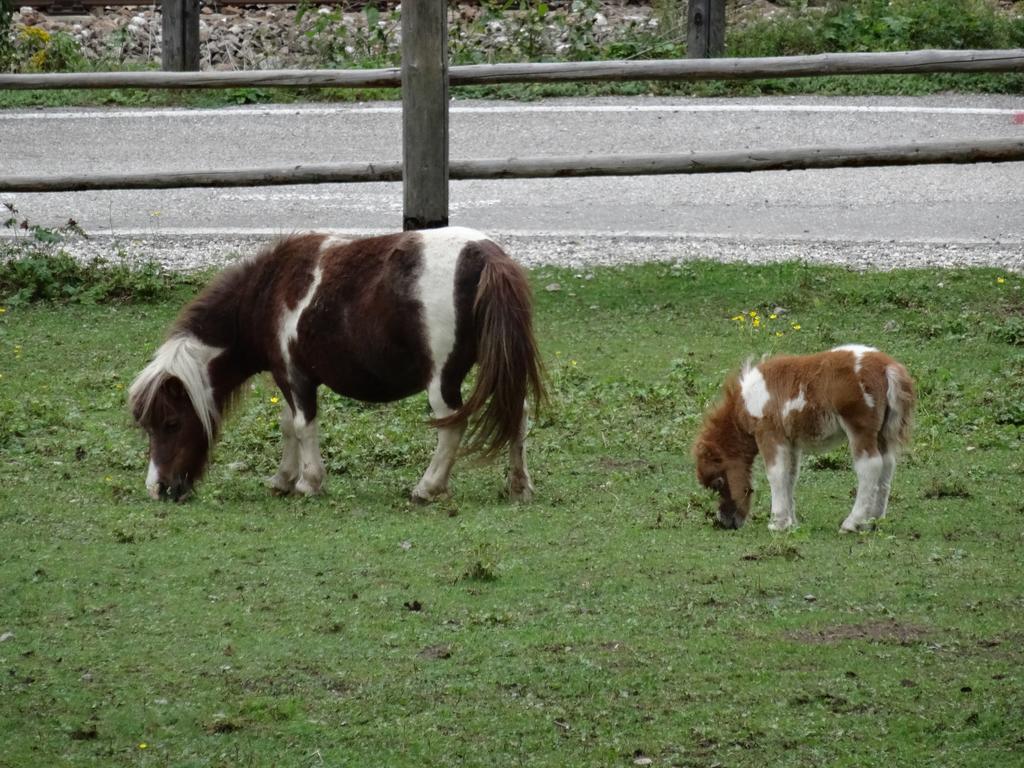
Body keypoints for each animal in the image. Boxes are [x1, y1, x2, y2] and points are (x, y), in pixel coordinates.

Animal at [129, 228, 548, 505]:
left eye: (171, 423)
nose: (157, 489)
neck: (268, 294)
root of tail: (485, 255)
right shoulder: (288, 378)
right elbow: (288, 426)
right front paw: (282, 479)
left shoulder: (295, 377)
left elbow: (302, 426)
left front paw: (309, 482)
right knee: (518, 414)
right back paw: (519, 486)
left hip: (442, 380)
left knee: (452, 425)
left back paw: (427, 488)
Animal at [692, 348, 917, 536]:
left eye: (718, 482)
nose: (726, 521)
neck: (749, 400)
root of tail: (888, 367)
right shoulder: (790, 441)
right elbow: (790, 476)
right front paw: (790, 522)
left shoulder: (769, 433)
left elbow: (775, 474)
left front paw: (777, 523)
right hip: (883, 433)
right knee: (887, 465)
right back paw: (873, 522)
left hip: (860, 428)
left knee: (870, 466)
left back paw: (852, 523)